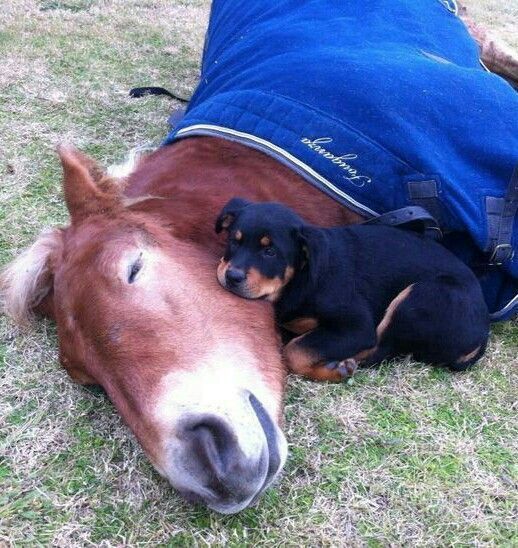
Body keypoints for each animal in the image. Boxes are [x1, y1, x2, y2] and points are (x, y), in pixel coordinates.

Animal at [215, 197, 492, 382]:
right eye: (233, 241)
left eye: (270, 251)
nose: (232, 276)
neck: (301, 278)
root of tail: (483, 331)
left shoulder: (356, 325)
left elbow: (295, 350)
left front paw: (334, 369)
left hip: (419, 297)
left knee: (380, 350)